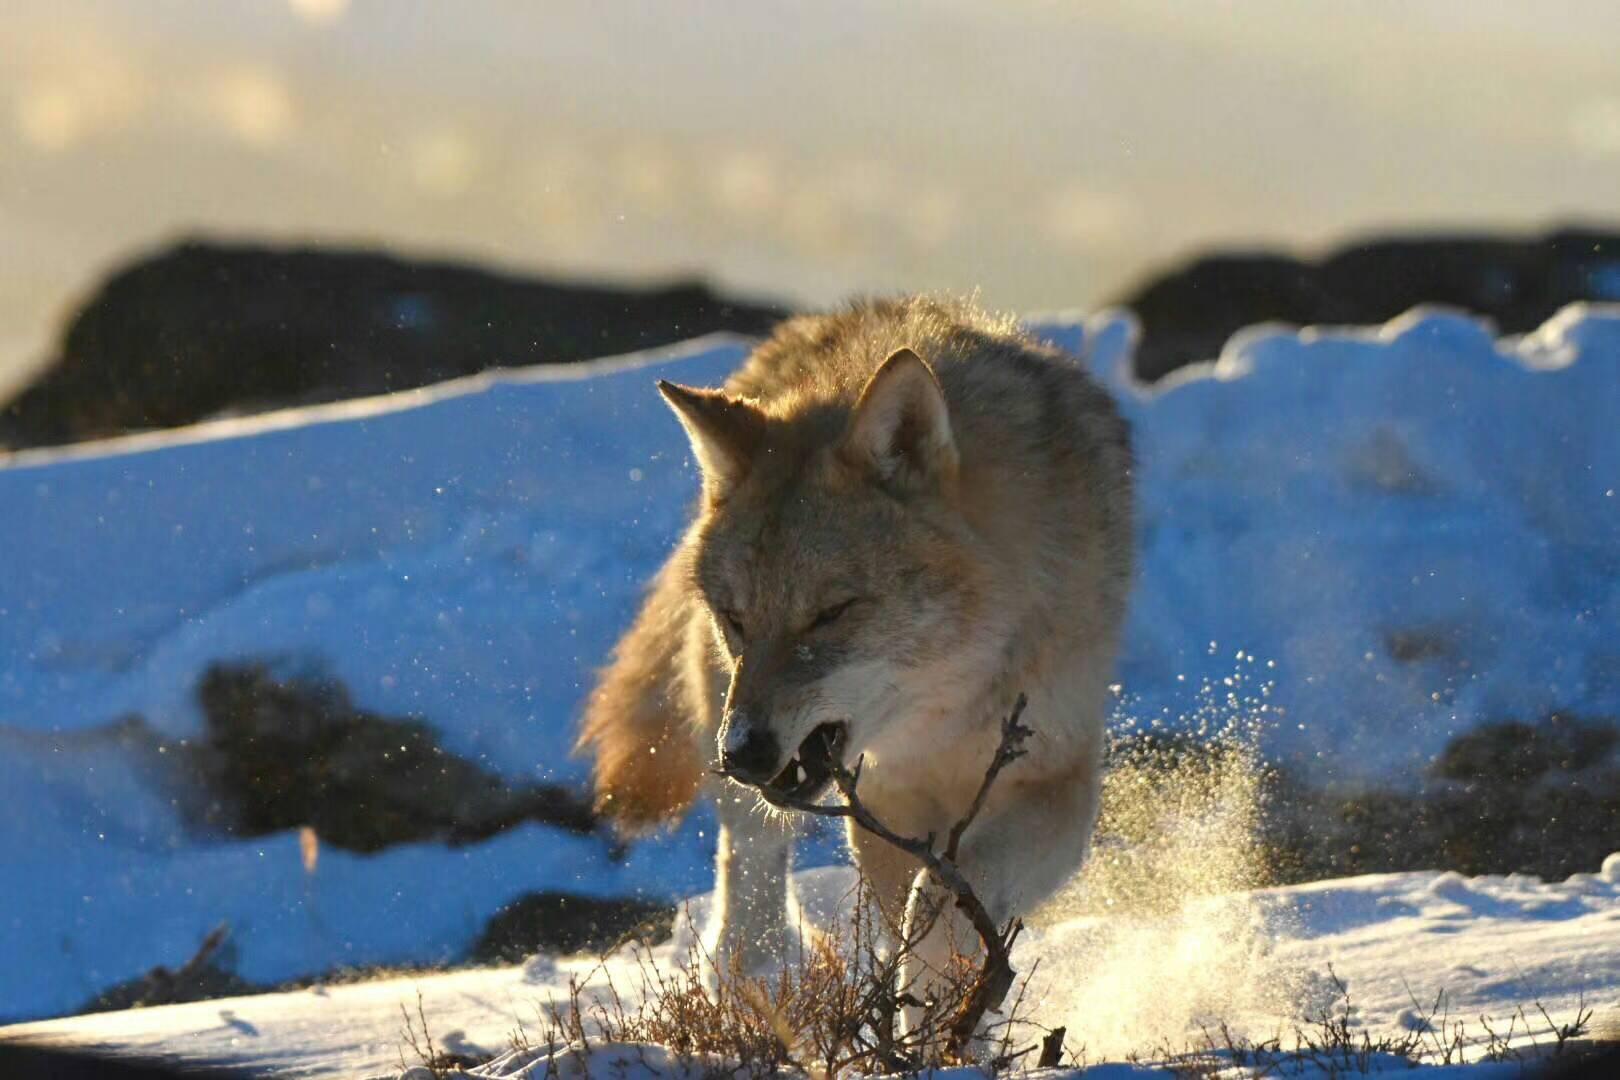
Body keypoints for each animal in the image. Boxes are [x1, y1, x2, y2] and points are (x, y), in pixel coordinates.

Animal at [576, 297, 1134, 1003]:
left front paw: (950, 1013)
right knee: (749, 857)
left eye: (830, 614)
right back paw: (754, 978)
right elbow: (917, 913)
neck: (948, 707)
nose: (744, 755)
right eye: (737, 618)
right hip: (718, 705)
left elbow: (942, 908)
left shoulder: (1053, 784)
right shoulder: (889, 800)